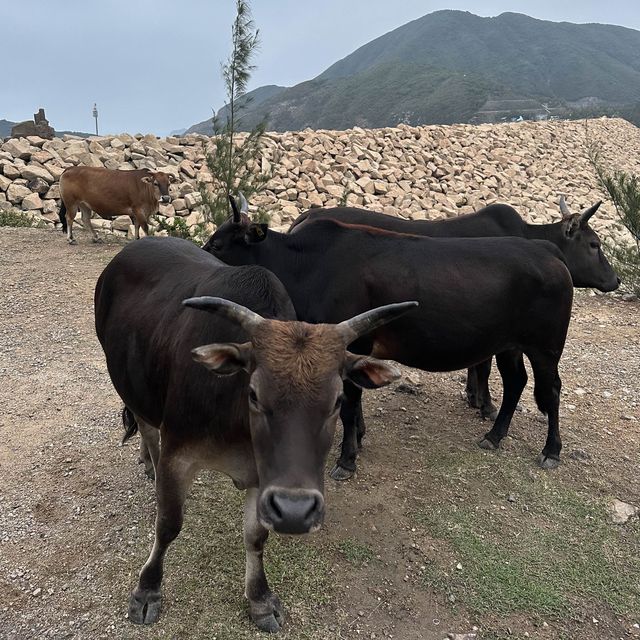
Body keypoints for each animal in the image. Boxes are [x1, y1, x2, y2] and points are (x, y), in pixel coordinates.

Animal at [95, 236, 416, 636]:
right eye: (253, 394)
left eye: (337, 400)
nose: (296, 511)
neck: (234, 422)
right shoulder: (178, 455)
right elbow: (168, 525)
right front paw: (147, 591)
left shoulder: (265, 477)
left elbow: (255, 535)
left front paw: (260, 599)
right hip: (129, 385)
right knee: (147, 428)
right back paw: (147, 463)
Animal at [204, 209, 576, 480]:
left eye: (218, 245)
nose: (202, 260)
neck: (307, 265)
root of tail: (547, 250)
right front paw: (359, 439)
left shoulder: (351, 343)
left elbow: (349, 404)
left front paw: (347, 459)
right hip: (510, 345)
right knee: (515, 383)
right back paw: (494, 436)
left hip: (546, 348)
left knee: (551, 389)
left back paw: (551, 451)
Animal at [288, 200, 616, 420]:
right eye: (594, 243)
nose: (616, 280)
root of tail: (307, 215)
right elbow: (482, 365)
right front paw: (484, 403)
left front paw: (474, 396)